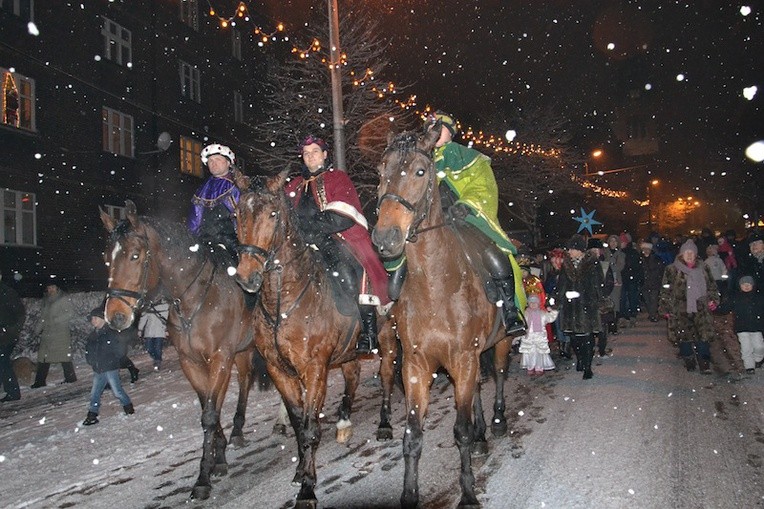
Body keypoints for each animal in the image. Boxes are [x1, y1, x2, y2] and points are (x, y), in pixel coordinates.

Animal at [99, 200, 266, 498]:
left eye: (135, 256)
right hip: (240, 351)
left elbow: (210, 414)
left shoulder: (220, 358)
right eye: (107, 257)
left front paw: (203, 478)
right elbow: (209, 408)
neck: (194, 298)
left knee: (249, 380)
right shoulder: (192, 362)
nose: (115, 316)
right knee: (242, 382)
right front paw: (217, 458)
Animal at [233, 172, 400, 508]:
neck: (282, 301)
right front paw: (300, 471)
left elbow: (310, 427)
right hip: (347, 351)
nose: (248, 277)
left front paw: (308, 489)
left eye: (273, 215)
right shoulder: (279, 370)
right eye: (238, 214)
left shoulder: (314, 368)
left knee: (387, 376)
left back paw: (384, 425)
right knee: (353, 375)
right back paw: (344, 422)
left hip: (387, 339)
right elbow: (298, 424)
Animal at [372, 125, 512, 506]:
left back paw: (496, 422)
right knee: (477, 388)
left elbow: (460, 430)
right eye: (381, 171)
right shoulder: (417, 364)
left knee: (500, 376)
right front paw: (409, 494)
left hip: (501, 342)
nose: (385, 237)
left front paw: (468, 493)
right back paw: (482, 435)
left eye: (421, 172)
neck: (436, 284)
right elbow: (412, 435)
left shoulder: (462, 358)